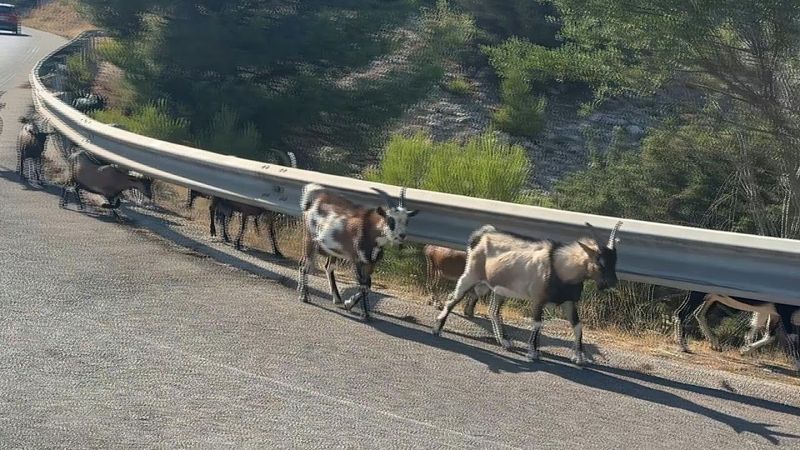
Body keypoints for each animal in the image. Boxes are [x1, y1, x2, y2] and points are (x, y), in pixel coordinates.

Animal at [297, 183, 418, 321]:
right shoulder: (356, 259)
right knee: (305, 264)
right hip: (310, 239)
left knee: (327, 267)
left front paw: (350, 305)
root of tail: (312, 202)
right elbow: (363, 284)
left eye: (406, 220)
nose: (402, 235)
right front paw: (363, 312)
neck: (369, 229)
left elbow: (368, 285)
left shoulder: (370, 262)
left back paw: (336, 298)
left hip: (331, 249)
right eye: (390, 219)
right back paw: (304, 296)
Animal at [432, 221, 623, 366]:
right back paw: (437, 329)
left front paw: (579, 358)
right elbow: (537, 323)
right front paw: (533, 353)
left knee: (493, 311)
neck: (559, 266)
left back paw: (505, 342)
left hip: (497, 288)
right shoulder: (538, 299)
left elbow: (577, 325)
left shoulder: (569, 301)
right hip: (471, 274)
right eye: (599, 261)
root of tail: (482, 235)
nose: (612, 282)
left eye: (615, 261)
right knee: (453, 298)